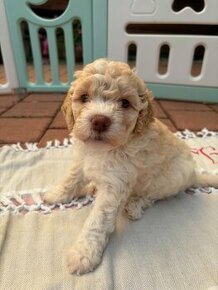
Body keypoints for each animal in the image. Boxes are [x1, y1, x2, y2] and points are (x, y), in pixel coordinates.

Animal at [43, 58, 218, 274]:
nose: (99, 121)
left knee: (153, 195)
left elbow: (97, 221)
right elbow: (72, 178)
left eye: (125, 103)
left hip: (170, 179)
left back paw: (135, 205)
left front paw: (83, 254)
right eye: (84, 97)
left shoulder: (115, 184)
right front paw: (56, 194)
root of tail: (194, 175)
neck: (103, 150)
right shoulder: (82, 160)